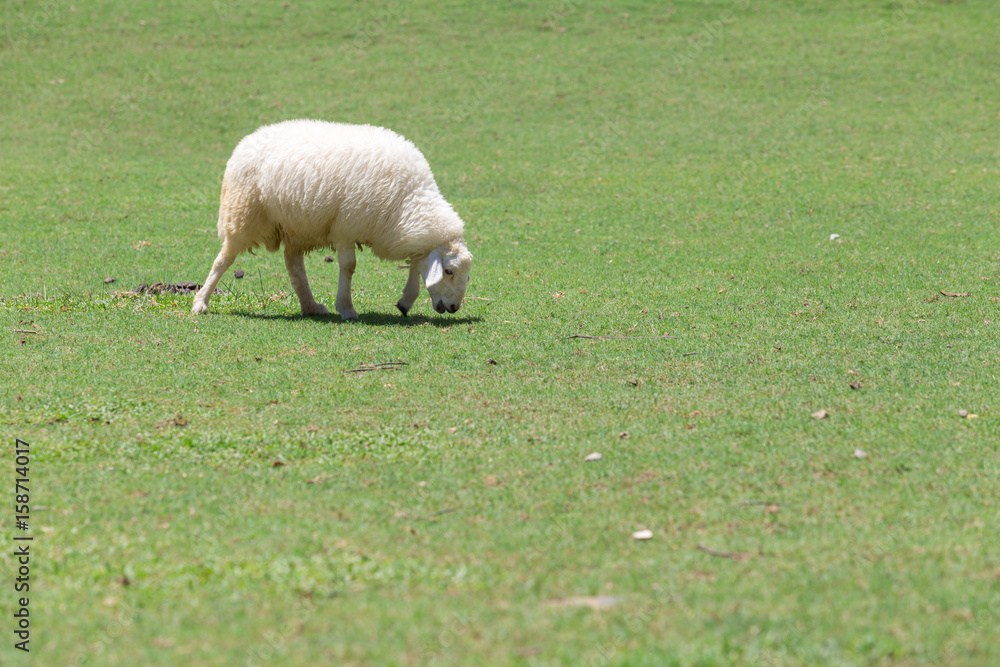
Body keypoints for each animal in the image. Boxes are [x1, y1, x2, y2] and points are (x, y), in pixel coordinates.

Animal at [191, 120, 473, 319]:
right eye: (448, 271)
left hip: (296, 224)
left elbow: (415, 265)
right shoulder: (346, 227)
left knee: (293, 263)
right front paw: (347, 308)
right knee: (223, 260)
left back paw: (310, 306)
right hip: (243, 215)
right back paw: (200, 303)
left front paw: (406, 301)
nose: (453, 307)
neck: (410, 200)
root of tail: (248, 140)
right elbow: (348, 267)